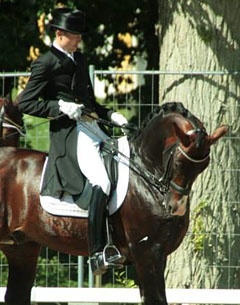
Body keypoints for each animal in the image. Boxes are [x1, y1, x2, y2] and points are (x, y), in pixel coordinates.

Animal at [0, 101, 227, 304]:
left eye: (203, 166)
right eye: (179, 162)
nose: (175, 207)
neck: (146, 172)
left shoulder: (157, 255)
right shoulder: (148, 253)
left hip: (22, 248)